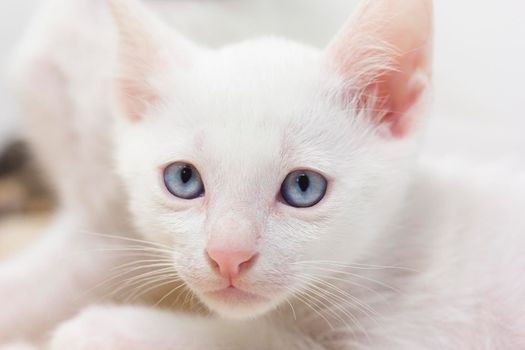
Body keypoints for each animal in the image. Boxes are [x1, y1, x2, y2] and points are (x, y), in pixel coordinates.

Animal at [1, 0, 524, 348]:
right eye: (183, 179)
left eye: (303, 187)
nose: (228, 255)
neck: (386, 254)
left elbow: (262, 339)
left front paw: (109, 328)